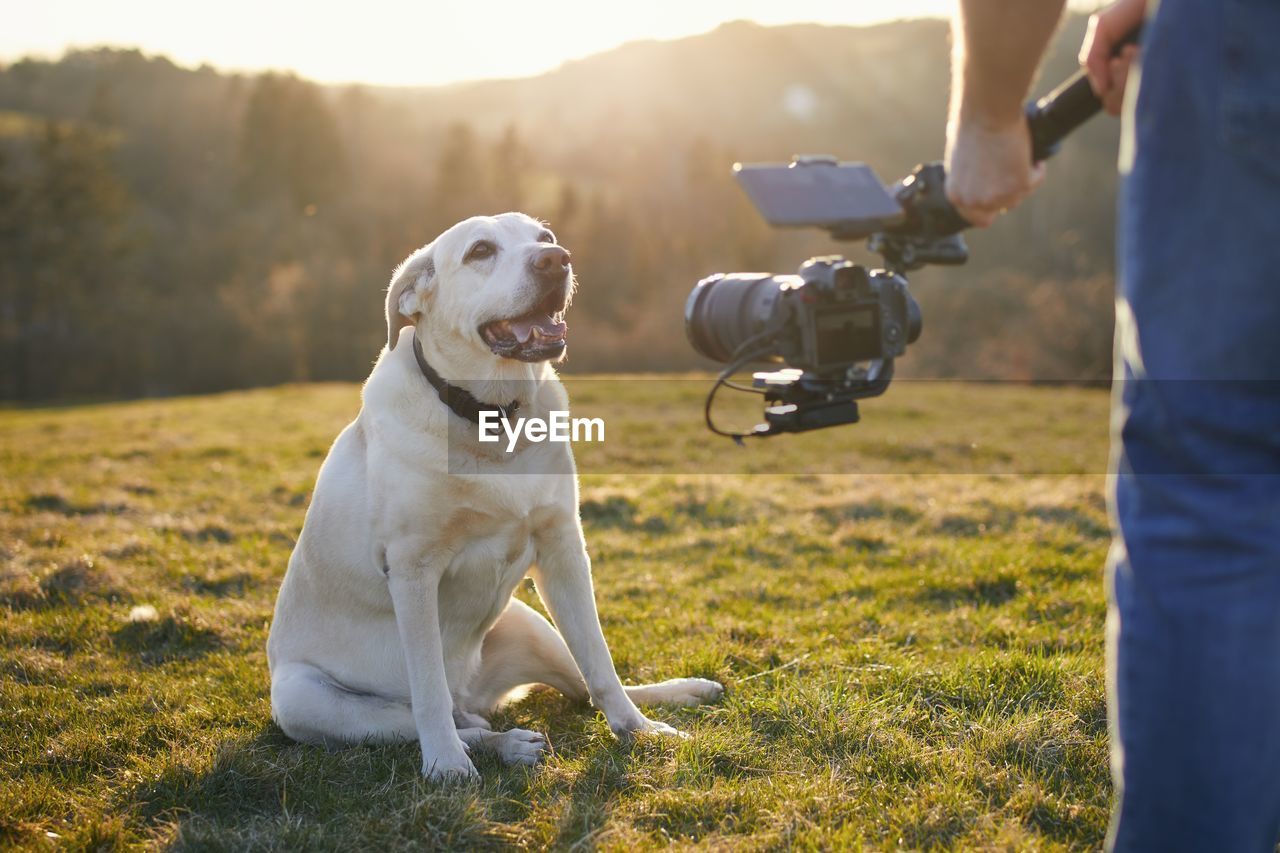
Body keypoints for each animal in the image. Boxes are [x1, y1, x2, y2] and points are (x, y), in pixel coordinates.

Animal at [267, 211, 721, 778]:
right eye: (480, 250)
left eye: (544, 239)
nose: (556, 260)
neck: (491, 418)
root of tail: (477, 697)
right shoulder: (413, 570)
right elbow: (428, 690)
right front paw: (445, 765)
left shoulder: (563, 549)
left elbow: (599, 659)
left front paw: (637, 731)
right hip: (304, 698)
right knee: (444, 717)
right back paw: (499, 744)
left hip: (530, 623)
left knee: (580, 688)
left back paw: (679, 694)